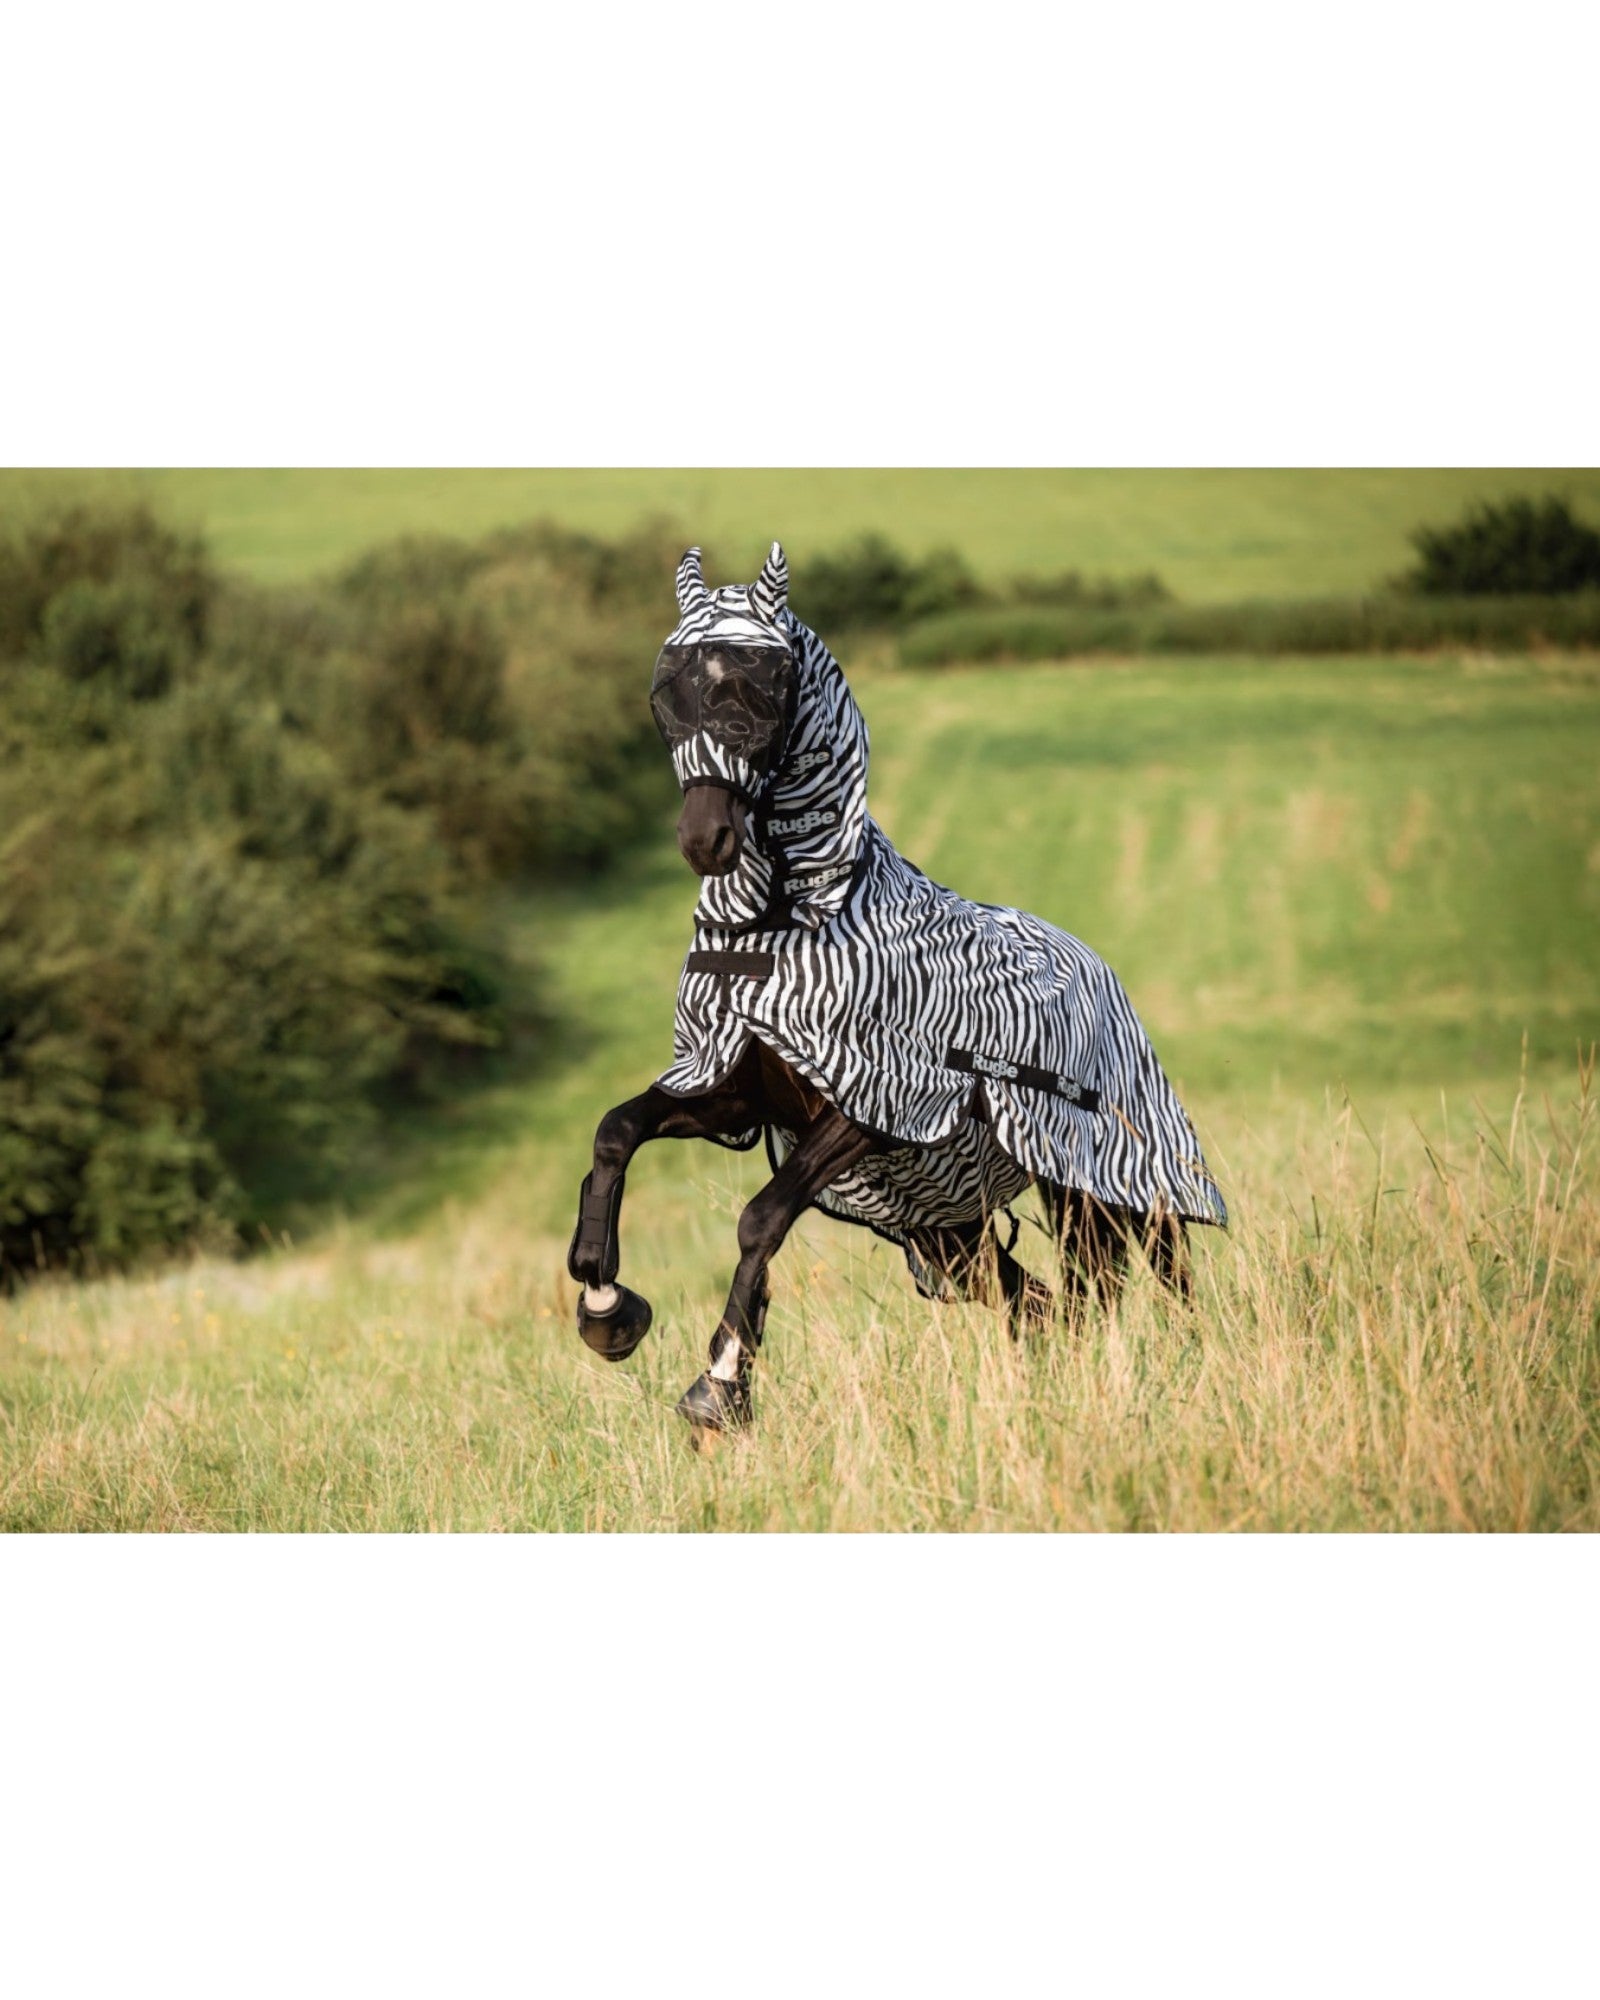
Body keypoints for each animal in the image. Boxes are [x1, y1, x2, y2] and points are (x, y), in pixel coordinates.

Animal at [567, 542, 1227, 1434]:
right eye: (666, 692)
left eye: (762, 690)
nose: (706, 840)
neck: (788, 925)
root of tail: (1096, 967)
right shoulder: (735, 1092)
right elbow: (616, 1133)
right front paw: (605, 1307)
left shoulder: (873, 1107)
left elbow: (761, 1216)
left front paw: (721, 1382)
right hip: (954, 1234)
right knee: (1046, 1305)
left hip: (1116, 1187)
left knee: (1164, 1280)